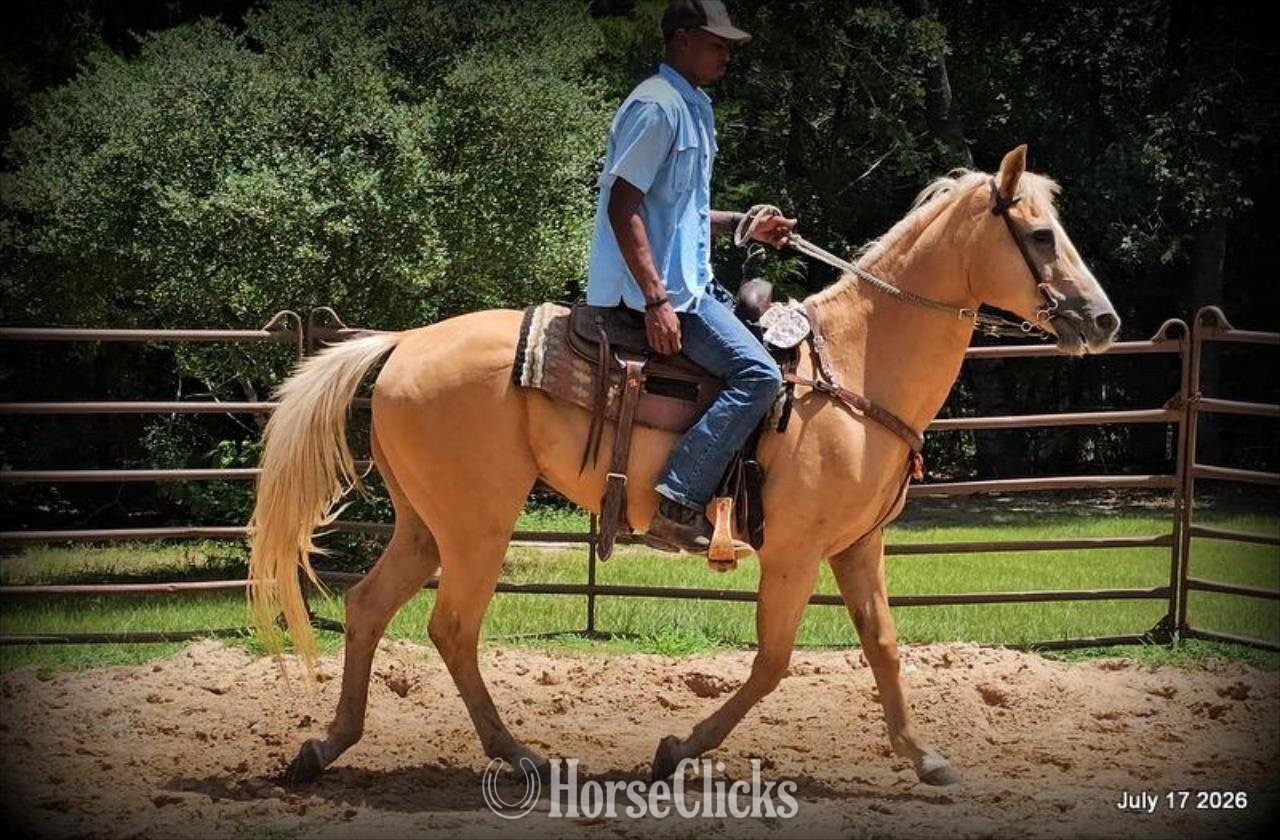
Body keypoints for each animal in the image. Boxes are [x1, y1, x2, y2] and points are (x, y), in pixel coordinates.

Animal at [248, 145, 1120, 787]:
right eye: (1039, 235)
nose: (1104, 318)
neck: (857, 365)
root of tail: (402, 344)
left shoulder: (857, 547)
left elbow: (884, 645)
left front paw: (926, 757)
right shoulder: (797, 552)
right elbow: (772, 663)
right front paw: (675, 751)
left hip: (426, 525)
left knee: (368, 608)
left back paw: (324, 749)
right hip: (476, 527)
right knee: (451, 628)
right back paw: (521, 756)